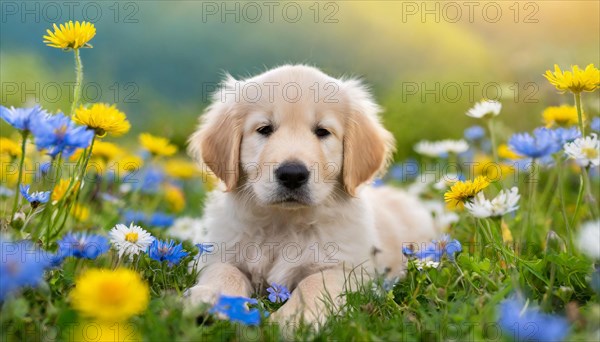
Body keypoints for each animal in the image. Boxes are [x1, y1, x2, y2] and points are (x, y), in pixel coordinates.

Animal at [186, 65, 436, 326]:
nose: (292, 174)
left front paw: (291, 320)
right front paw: (210, 300)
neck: (284, 223)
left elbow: (313, 283)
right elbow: (226, 270)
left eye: (322, 131)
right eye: (264, 129)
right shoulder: (217, 253)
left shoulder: (350, 268)